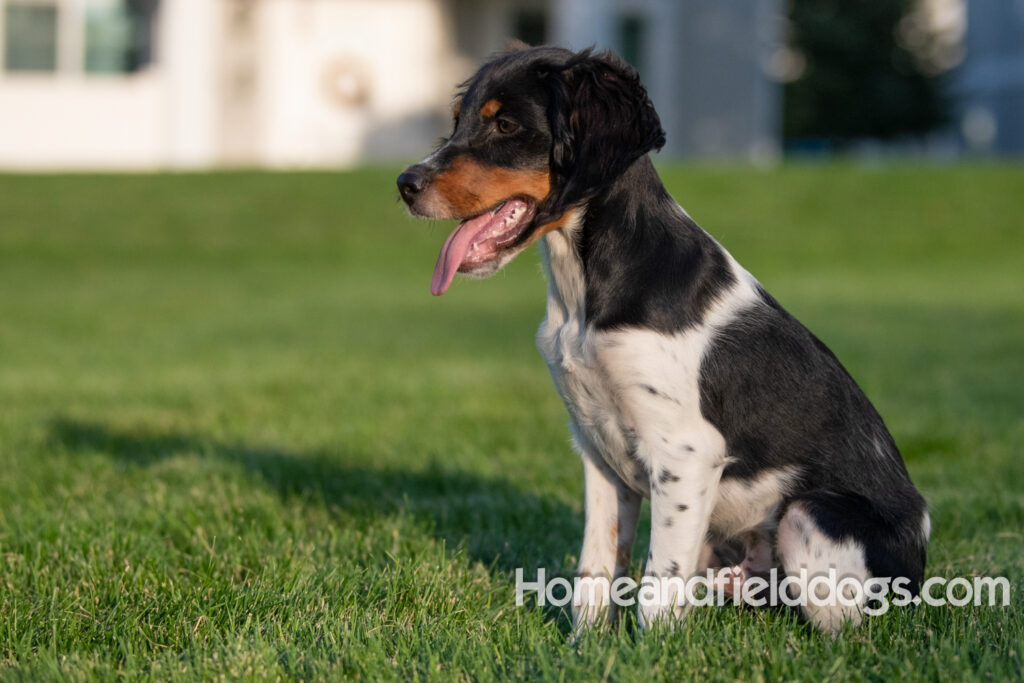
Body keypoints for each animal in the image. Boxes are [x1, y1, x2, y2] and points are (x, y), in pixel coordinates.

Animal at [397, 46, 929, 634]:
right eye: (458, 121)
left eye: (506, 125)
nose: (404, 183)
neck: (583, 296)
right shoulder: (598, 451)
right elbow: (596, 568)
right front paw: (586, 644)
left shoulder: (686, 454)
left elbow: (658, 582)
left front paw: (649, 649)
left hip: (810, 515)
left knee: (844, 626)